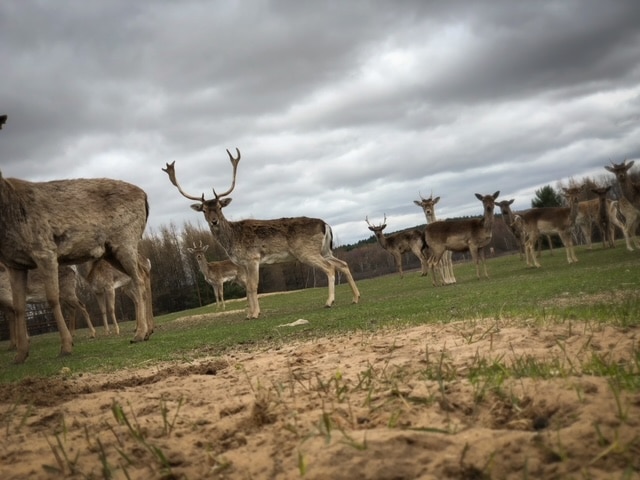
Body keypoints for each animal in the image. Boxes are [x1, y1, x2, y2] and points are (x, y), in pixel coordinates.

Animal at [0, 116, 153, 363]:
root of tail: (145, 197)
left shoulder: (44, 249)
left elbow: (52, 298)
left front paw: (66, 346)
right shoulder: (14, 262)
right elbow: (20, 307)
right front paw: (20, 355)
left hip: (126, 239)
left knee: (138, 278)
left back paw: (140, 333)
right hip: (111, 251)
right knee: (141, 272)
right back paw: (148, 330)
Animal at [162, 148, 360, 319]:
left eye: (219, 207)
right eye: (203, 210)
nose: (214, 221)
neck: (232, 240)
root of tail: (325, 224)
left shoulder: (253, 258)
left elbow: (252, 286)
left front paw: (255, 314)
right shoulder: (242, 263)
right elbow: (248, 288)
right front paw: (249, 314)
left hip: (306, 251)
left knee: (330, 267)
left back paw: (329, 301)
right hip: (325, 249)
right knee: (343, 264)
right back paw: (355, 297)